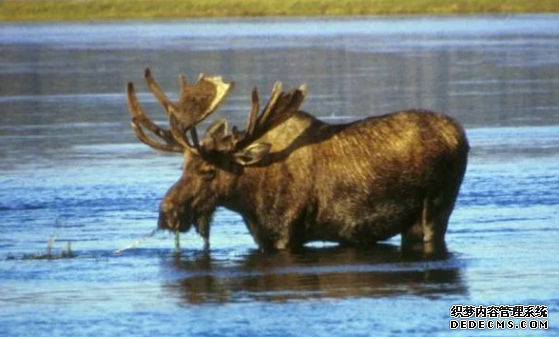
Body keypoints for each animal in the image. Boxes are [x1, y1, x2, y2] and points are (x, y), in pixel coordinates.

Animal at [126, 69, 468, 254]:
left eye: (208, 171)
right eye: (182, 167)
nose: (167, 213)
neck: (248, 199)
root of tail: (460, 134)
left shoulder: (287, 233)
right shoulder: (263, 235)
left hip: (437, 207)